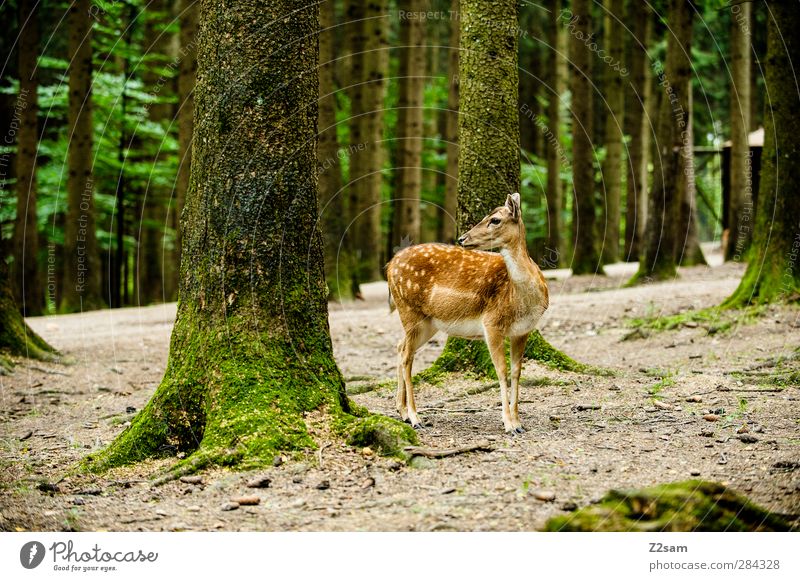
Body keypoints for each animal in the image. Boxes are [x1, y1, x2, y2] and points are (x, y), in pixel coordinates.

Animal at [384, 193, 548, 432]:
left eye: (495, 219)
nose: (462, 238)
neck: (521, 299)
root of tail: (389, 266)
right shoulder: (492, 323)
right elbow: (502, 370)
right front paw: (508, 424)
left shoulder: (522, 331)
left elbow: (517, 372)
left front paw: (518, 422)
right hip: (408, 309)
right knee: (406, 356)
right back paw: (415, 418)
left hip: (428, 323)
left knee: (399, 346)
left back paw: (403, 412)